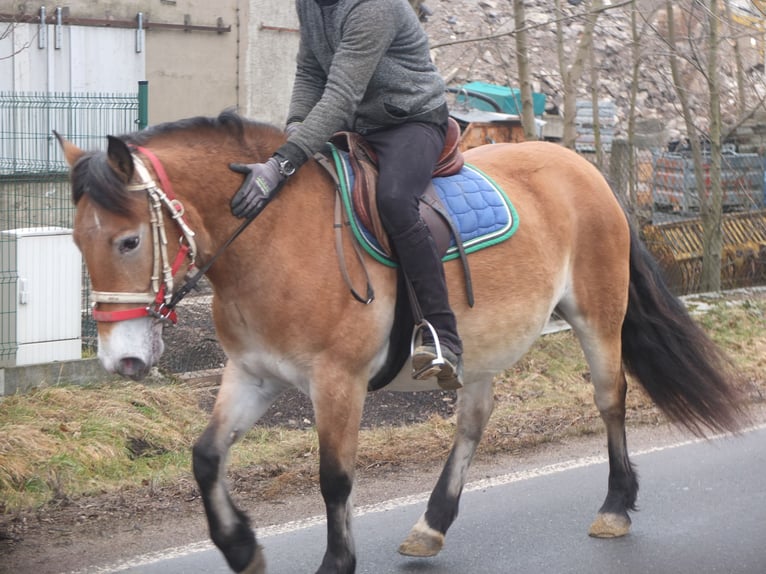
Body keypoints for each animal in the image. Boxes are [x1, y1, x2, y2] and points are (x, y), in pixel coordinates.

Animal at [57, 110, 748, 572]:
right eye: (77, 242)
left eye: (128, 241)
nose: (122, 358)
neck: (272, 238)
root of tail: (586, 168)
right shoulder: (253, 373)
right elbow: (205, 456)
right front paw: (242, 546)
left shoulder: (338, 382)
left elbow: (335, 478)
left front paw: (335, 562)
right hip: (479, 348)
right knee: (474, 421)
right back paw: (431, 525)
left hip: (598, 319)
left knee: (611, 399)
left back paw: (615, 506)